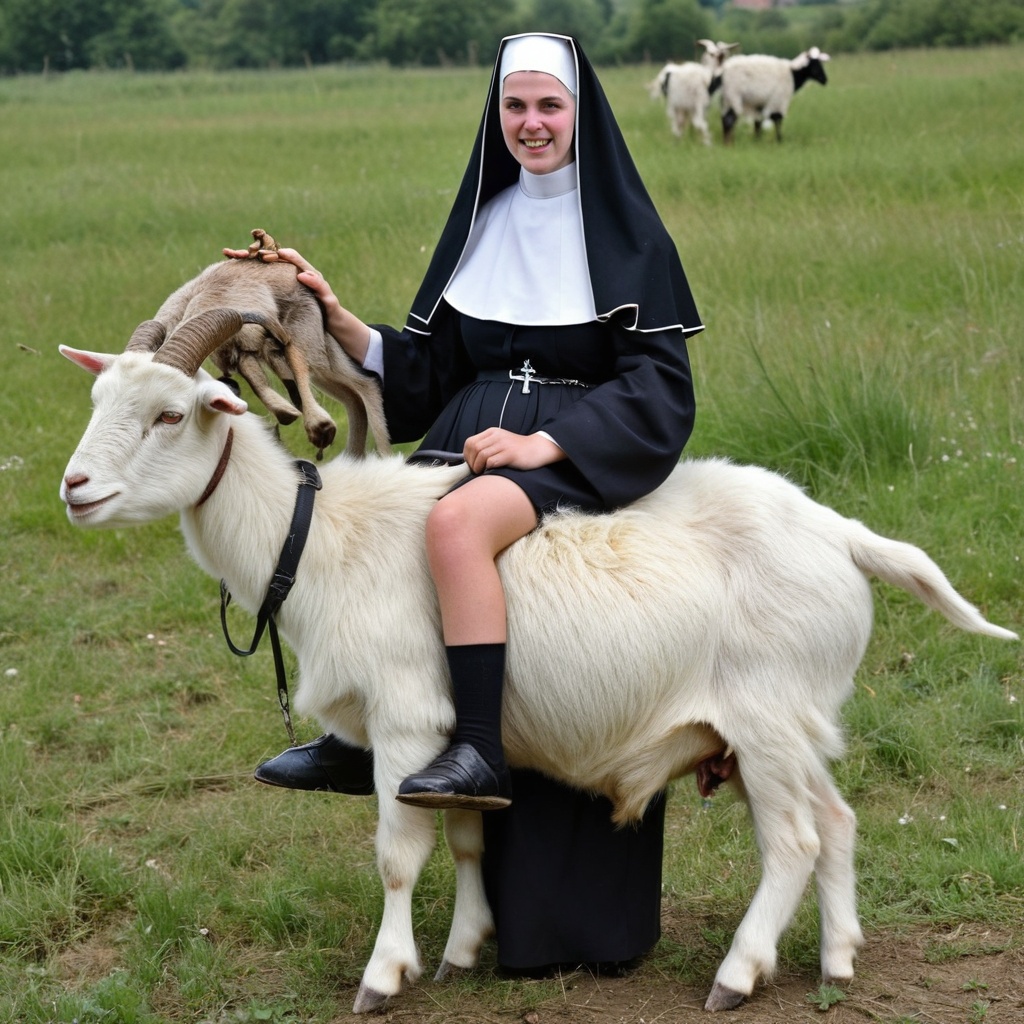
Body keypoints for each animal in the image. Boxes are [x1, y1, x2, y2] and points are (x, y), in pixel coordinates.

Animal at [59, 312, 1016, 1013]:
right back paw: (837, 959)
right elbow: (468, 837)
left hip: (768, 723)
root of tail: (843, 535)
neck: (322, 536)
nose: (75, 489)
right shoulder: (450, 748)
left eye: (170, 414)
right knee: (839, 820)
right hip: (791, 725)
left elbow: (397, 855)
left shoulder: (407, 719)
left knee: (795, 840)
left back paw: (737, 976)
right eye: (97, 397)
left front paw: (384, 975)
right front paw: (463, 948)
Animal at [127, 229, 390, 458]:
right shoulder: (240, 352)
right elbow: (256, 379)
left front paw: (319, 427)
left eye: (169, 413)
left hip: (313, 342)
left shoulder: (270, 335)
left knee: (364, 384)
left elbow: (287, 366)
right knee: (352, 397)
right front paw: (287, 413)